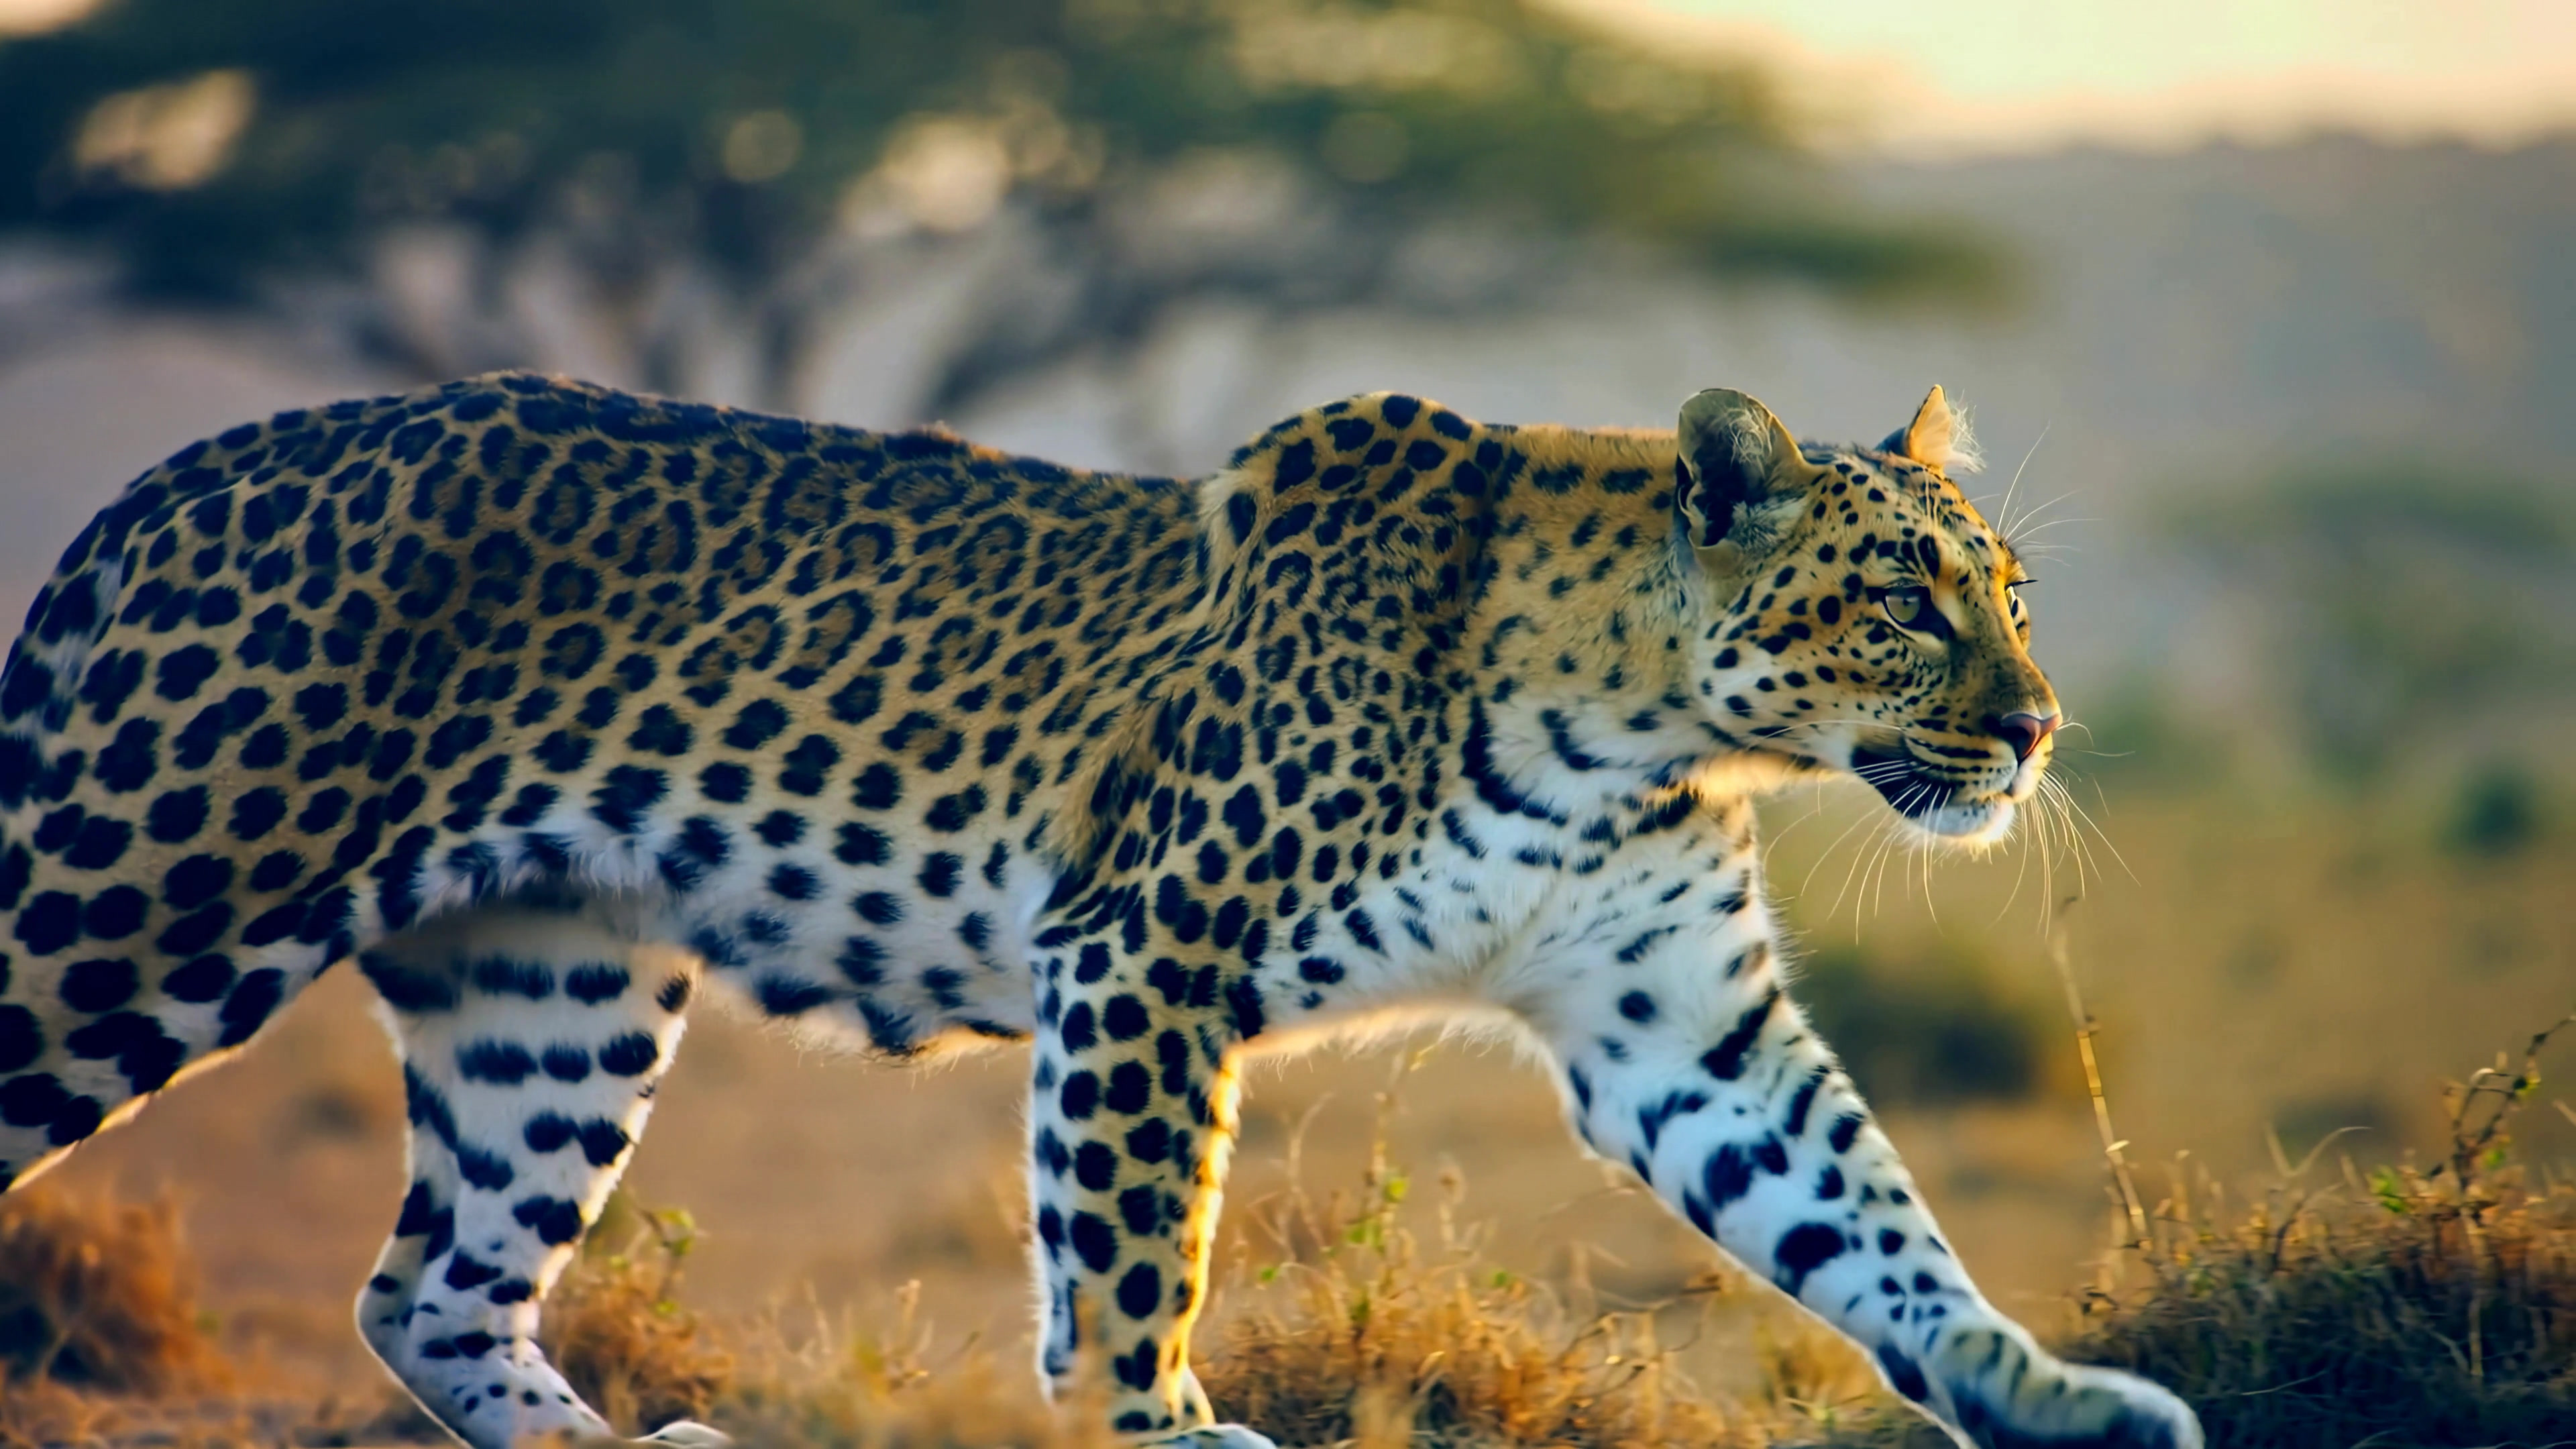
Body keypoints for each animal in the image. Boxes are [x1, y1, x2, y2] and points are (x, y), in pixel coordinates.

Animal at [0, 370, 2201, 1449]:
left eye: (2009, 588)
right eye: (1904, 595)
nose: (2035, 726)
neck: (1645, 720)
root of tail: (182, 473)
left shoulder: (1685, 1032)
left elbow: (1873, 1228)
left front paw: (2047, 1399)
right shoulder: (1148, 951)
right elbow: (1136, 1252)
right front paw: (1159, 1428)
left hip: (550, 986)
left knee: (432, 1286)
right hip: (140, 889)